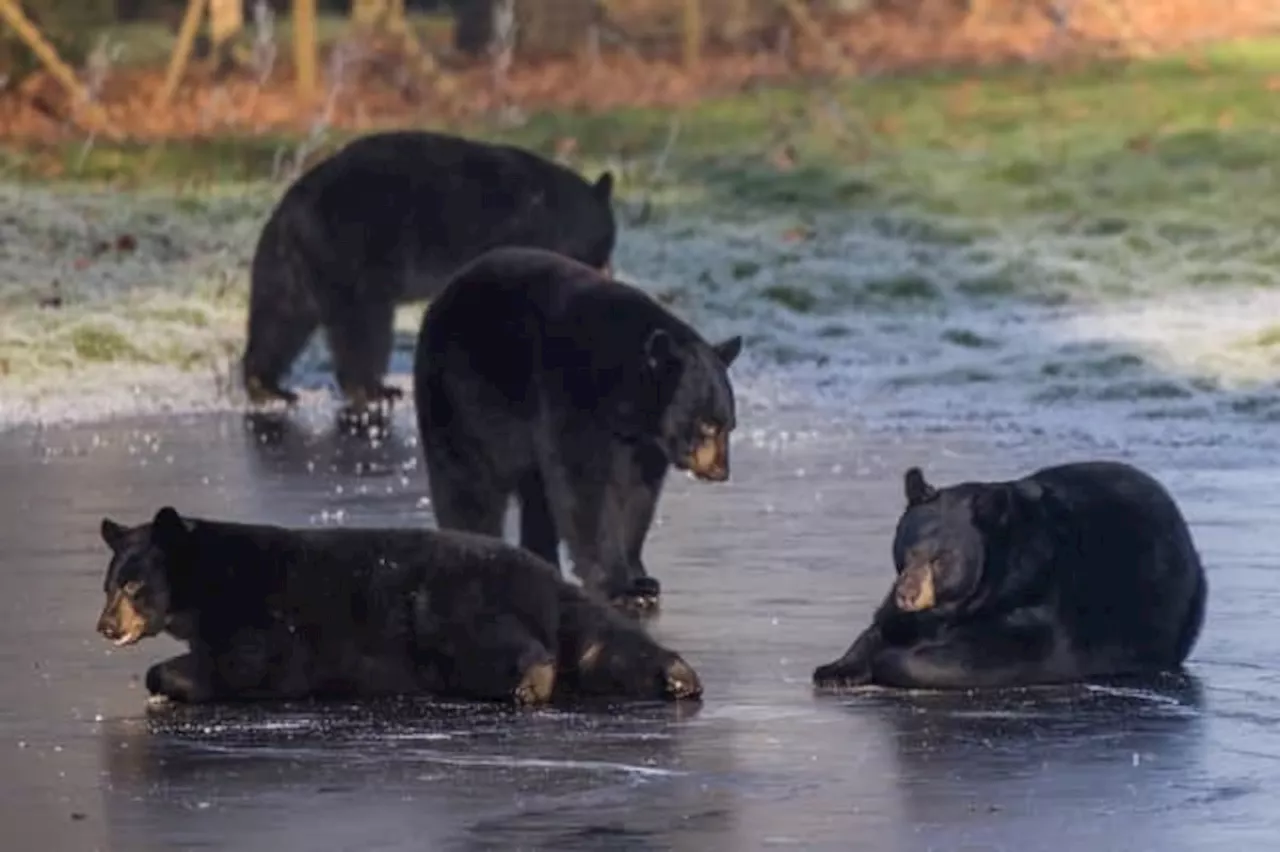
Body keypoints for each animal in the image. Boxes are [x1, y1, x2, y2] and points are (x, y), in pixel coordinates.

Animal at [94, 504, 706, 701]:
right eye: (108, 585)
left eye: (133, 586)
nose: (104, 626)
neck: (205, 573)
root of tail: (541, 573)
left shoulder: (258, 606)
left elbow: (246, 658)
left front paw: (168, 680)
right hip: (561, 610)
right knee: (600, 642)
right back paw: (679, 674)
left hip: (447, 605)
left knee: (501, 642)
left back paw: (531, 680)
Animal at [243, 131, 619, 409]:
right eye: (603, 246)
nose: (608, 276)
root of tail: (291, 212)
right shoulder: (505, 239)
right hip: (352, 252)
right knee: (363, 324)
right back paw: (371, 388)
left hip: (286, 266)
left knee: (278, 320)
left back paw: (266, 386)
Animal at [414, 244, 747, 611]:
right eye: (707, 425)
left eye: (730, 425)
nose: (721, 471)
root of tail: (443, 293)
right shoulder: (571, 398)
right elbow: (586, 486)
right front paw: (618, 585)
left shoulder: (640, 441)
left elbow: (637, 493)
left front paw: (642, 579)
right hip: (459, 397)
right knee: (466, 482)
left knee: (537, 497)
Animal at [814, 457, 1203, 690]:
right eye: (907, 552)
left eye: (941, 559)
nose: (907, 594)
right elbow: (882, 624)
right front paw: (835, 669)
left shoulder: (1036, 599)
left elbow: (989, 653)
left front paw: (890, 660)